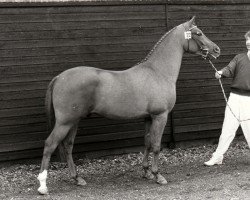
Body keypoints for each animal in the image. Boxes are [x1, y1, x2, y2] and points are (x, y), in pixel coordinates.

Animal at [36, 16, 220, 195]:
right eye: (198, 33)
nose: (216, 50)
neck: (157, 72)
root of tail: (59, 77)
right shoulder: (160, 116)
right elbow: (156, 145)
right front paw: (157, 175)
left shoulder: (148, 118)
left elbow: (147, 142)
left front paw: (146, 172)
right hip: (65, 122)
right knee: (50, 145)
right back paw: (43, 186)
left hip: (74, 121)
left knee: (68, 146)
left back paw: (77, 178)